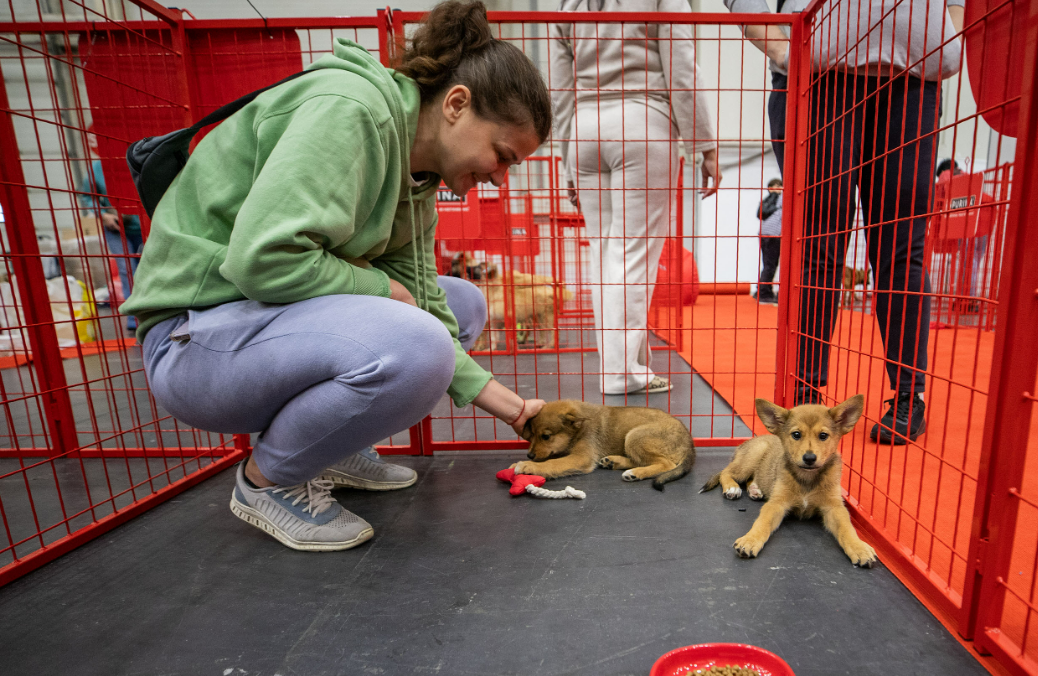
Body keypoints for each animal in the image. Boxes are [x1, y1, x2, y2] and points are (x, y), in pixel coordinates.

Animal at [512, 398, 693, 490]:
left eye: (546, 436)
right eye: (531, 435)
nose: (530, 455)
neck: (580, 428)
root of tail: (689, 440)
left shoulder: (581, 457)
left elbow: (552, 463)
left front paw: (528, 465)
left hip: (635, 436)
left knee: (666, 464)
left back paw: (635, 473)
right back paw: (614, 462)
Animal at [697, 394, 876, 569]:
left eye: (823, 436)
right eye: (796, 434)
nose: (809, 458)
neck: (807, 479)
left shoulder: (835, 507)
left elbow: (847, 529)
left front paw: (860, 548)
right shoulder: (776, 504)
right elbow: (762, 523)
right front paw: (750, 540)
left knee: (752, 477)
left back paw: (755, 490)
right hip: (752, 456)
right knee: (726, 472)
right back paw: (732, 488)